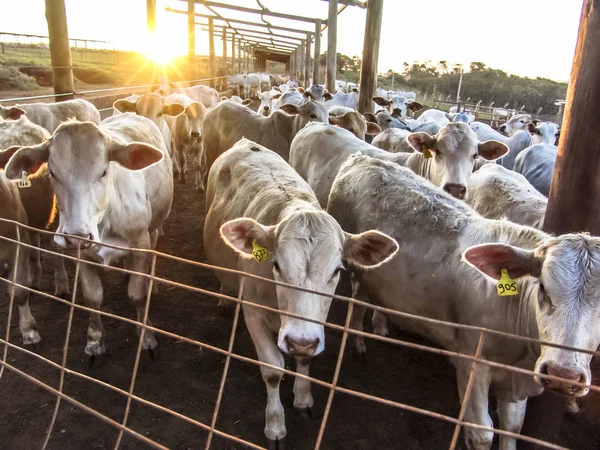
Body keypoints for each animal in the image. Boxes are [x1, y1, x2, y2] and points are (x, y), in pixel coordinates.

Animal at [204, 139, 396, 448]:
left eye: (336, 270)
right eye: (276, 265)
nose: (298, 341)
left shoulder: (314, 326)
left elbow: (305, 360)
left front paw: (303, 397)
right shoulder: (253, 313)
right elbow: (272, 370)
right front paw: (275, 425)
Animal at [328, 154, 600, 450]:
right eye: (543, 288)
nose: (563, 374)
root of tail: (364, 157)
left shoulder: (515, 383)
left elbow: (512, 428)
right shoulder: (472, 362)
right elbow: (481, 432)